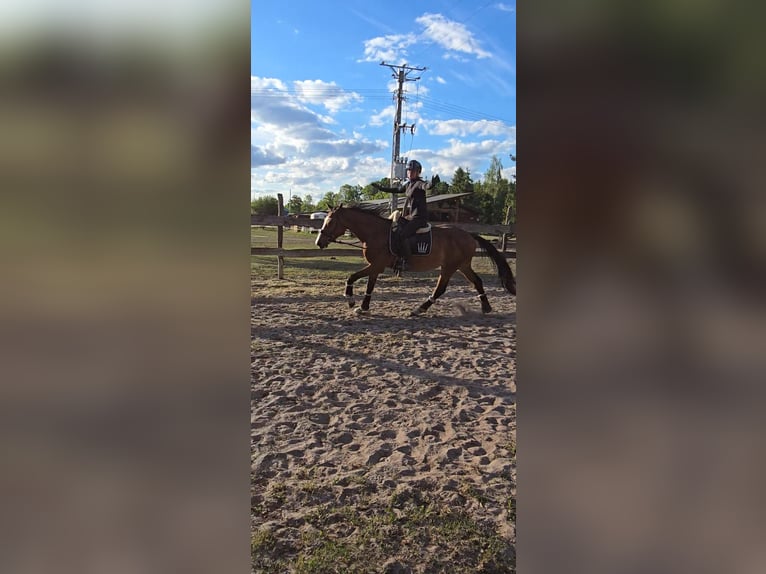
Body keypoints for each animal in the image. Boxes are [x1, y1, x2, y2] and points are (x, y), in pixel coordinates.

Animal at [315, 205, 516, 316]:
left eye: (330, 222)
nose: (319, 242)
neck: (376, 233)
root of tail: (469, 234)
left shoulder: (376, 265)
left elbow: (352, 277)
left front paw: (350, 300)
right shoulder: (375, 267)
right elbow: (369, 286)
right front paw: (363, 308)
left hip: (450, 267)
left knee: (441, 289)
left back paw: (419, 309)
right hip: (462, 266)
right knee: (477, 282)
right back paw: (486, 308)